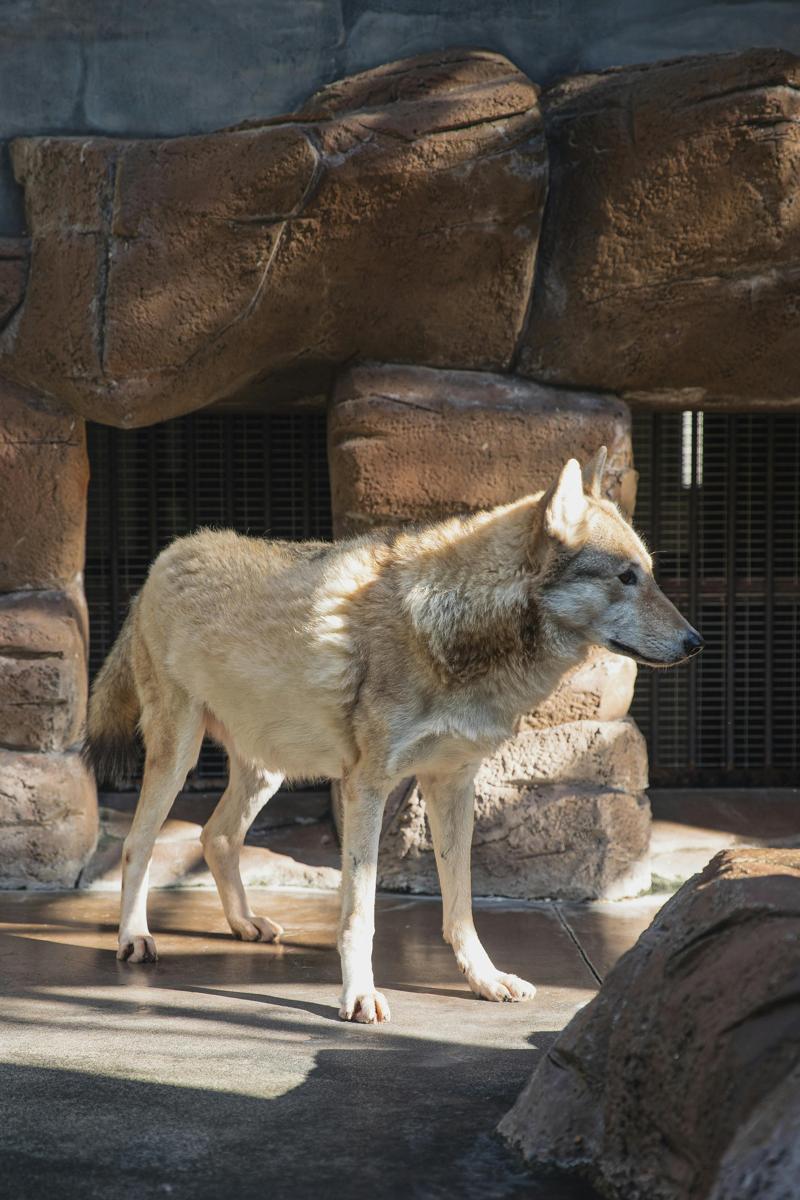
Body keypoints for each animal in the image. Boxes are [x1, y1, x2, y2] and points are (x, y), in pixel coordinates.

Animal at [84, 447, 702, 1022]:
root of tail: (165, 556)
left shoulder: (452, 785)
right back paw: (134, 939)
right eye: (626, 577)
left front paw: (485, 980)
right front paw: (359, 996)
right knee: (139, 844)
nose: (696, 642)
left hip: (269, 770)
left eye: (650, 573)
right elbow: (359, 913)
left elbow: (461, 908)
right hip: (178, 757)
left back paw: (244, 924)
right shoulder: (368, 787)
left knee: (216, 836)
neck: (459, 633)